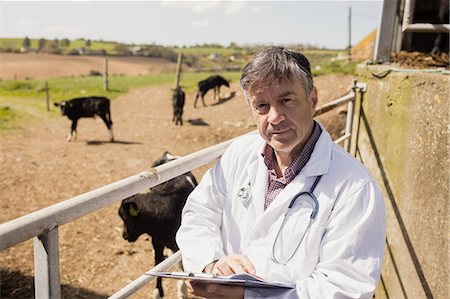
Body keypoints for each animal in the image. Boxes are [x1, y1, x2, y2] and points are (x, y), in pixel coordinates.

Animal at [118, 152, 198, 299]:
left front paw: (182, 289)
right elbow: (158, 263)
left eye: (125, 218)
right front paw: (158, 292)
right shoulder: (156, 240)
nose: (124, 235)